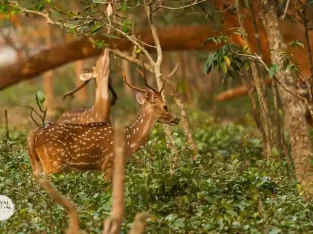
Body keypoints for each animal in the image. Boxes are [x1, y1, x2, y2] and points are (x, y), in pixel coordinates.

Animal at [27, 62, 178, 179]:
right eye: (165, 106)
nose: (176, 119)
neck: (129, 140)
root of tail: (33, 135)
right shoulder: (109, 164)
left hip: (37, 165)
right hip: (53, 164)